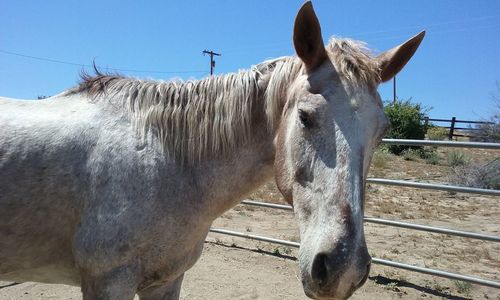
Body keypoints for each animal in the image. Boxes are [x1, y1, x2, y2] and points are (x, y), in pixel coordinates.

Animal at [0, 1, 424, 298]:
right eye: (305, 116)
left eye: (382, 132)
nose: (342, 270)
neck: (164, 160)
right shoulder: (108, 282)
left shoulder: (165, 280)